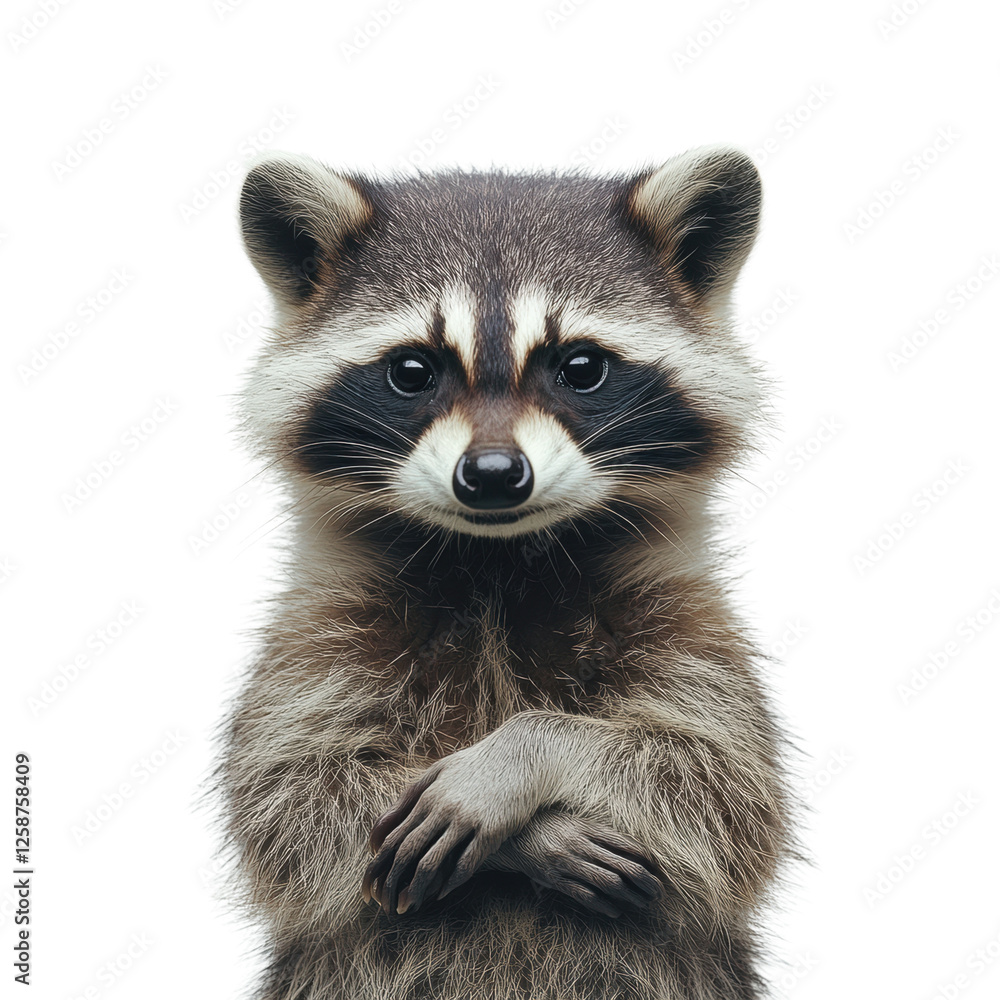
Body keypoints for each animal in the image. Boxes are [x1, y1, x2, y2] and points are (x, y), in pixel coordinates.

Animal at [216, 145, 797, 1000]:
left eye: (581, 367)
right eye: (413, 370)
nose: (491, 475)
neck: (495, 559)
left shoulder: (686, 624)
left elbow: (721, 788)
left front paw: (523, 757)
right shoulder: (318, 633)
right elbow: (296, 799)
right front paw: (535, 837)